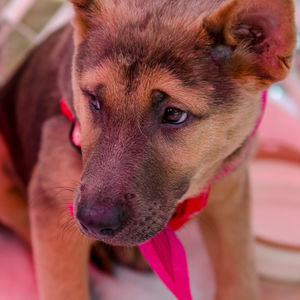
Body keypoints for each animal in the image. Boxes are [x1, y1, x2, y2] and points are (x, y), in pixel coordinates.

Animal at [0, 0, 296, 298]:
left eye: (174, 114)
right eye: (93, 99)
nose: (92, 222)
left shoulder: (230, 192)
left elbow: (239, 272)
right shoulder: (50, 199)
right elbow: (63, 285)